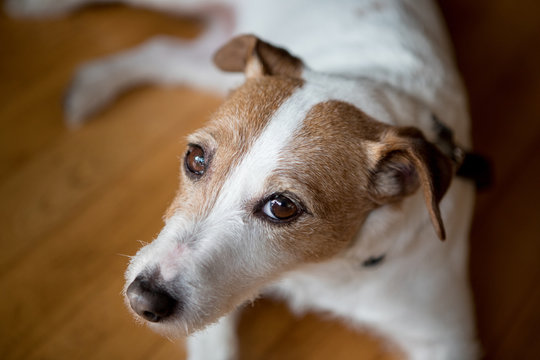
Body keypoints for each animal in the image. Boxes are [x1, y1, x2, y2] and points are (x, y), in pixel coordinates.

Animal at [6, 0, 480, 358]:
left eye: (282, 207)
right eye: (196, 159)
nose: (143, 301)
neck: (319, 270)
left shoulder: (443, 336)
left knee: (160, 50)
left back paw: (93, 84)